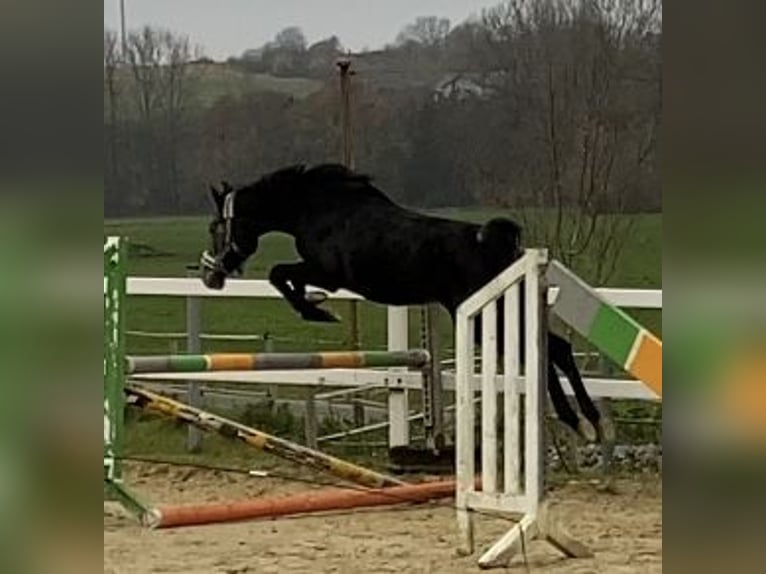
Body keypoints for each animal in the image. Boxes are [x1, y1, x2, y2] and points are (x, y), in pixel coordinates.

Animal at [201, 164, 608, 444]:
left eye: (215, 227)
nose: (211, 276)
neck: (316, 207)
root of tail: (496, 245)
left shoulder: (328, 273)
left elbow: (279, 274)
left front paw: (317, 310)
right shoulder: (325, 274)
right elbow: (286, 278)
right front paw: (316, 305)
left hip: (483, 319)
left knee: (544, 350)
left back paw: (579, 423)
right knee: (558, 348)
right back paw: (591, 422)